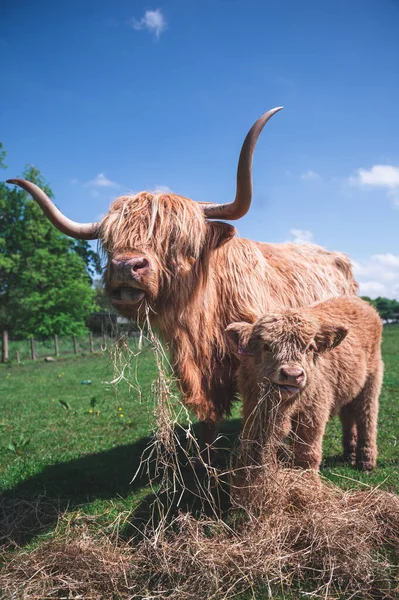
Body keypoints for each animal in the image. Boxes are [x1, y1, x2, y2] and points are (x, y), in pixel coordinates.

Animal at [6, 109, 358, 454]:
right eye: (109, 243)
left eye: (179, 242)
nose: (126, 266)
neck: (204, 322)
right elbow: (209, 421)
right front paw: (206, 457)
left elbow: (257, 419)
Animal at [227, 298, 382, 472]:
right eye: (266, 346)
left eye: (310, 348)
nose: (292, 374)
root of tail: (359, 301)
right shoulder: (254, 407)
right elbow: (258, 443)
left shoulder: (313, 412)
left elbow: (307, 451)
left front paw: (305, 475)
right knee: (348, 416)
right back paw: (350, 455)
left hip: (372, 381)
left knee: (367, 418)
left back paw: (366, 462)